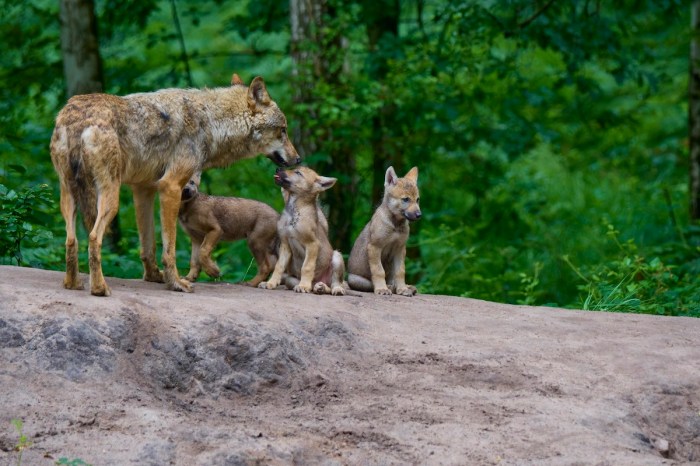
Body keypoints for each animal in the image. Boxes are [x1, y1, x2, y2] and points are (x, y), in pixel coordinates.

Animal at [49, 73, 298, 296]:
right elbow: (170, 249)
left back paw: (72, 283)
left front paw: (153, 277)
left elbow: (148, 245)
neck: (211, 122)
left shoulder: (143, 190)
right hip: (111, 198)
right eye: (283, 130)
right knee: (93, 237)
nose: (297, 159)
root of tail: (78, 117)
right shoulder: (170, 187)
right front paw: (177, 283)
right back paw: (99, 288)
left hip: (69, 196)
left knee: (71, 240)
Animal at [259, 167, 345, 296]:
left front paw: (304, 286)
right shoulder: (285, 245)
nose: (278, 168)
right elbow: (279, 266)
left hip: (337, 257)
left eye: (298, 173)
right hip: (290, 279)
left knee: (335, 283)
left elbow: (307, 267)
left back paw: (333, 289)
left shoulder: (312, 244)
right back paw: (317, 287)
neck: (293, 212)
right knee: (312, 286)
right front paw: (270, 283)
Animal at [348, 166, 421, 296]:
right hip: (356, 279)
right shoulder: (375, 247)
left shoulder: (400, 249)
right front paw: (382, 289)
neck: (395, 225)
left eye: (417, 200)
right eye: (406, 199)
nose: (419, 215)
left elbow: (400, 271)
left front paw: (402, 288)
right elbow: (378, 271)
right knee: (371, 285)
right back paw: (388, 287)